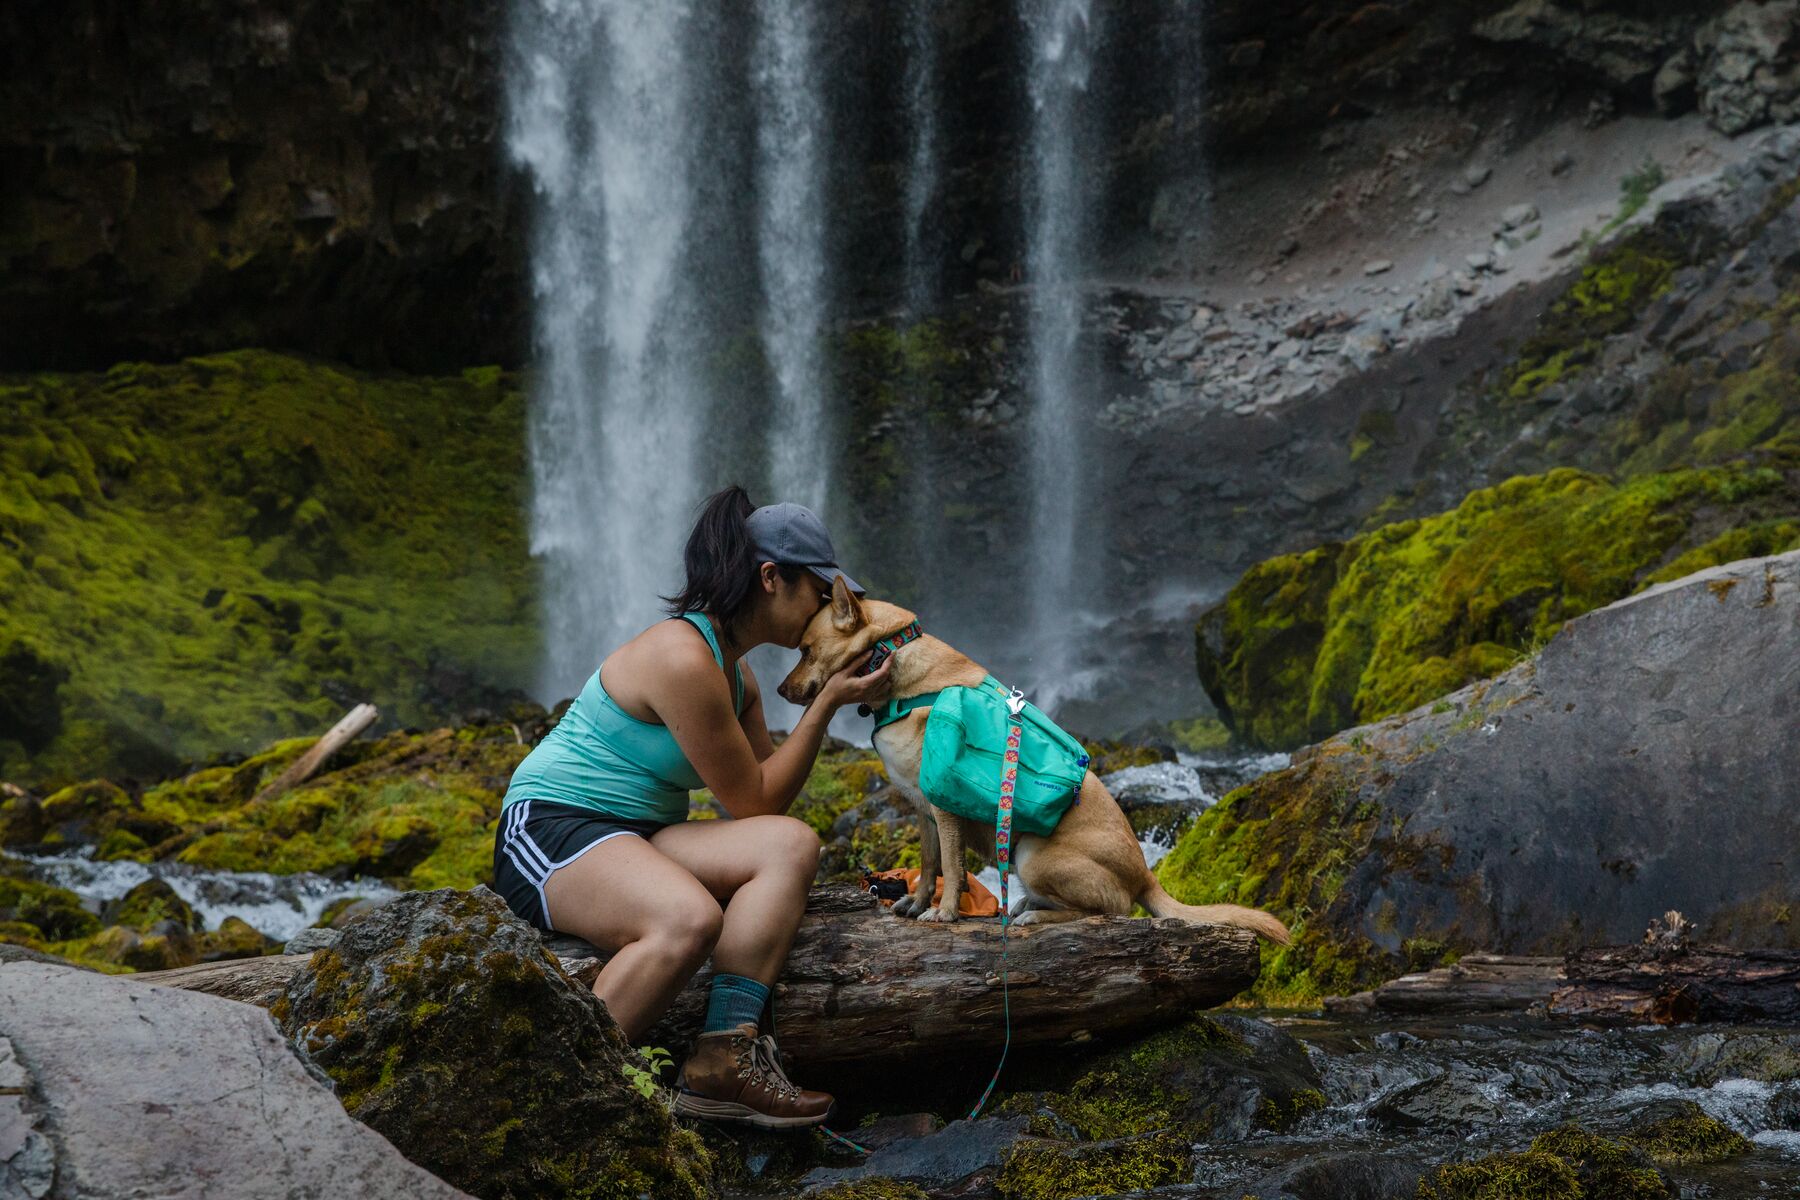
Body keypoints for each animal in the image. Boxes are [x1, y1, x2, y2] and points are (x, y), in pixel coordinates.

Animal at [774, 575, 1296, 942]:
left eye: (805, 649)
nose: (779, 691)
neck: (894, 662)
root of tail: (1146, 874)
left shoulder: (944, 807)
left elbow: (953, 869)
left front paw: (945, 913)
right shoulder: (922, 811)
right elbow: (929, 866)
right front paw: (916, 904)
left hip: (1031, 855)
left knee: (1109, 911)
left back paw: (1033, 918)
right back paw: (1027, 908)